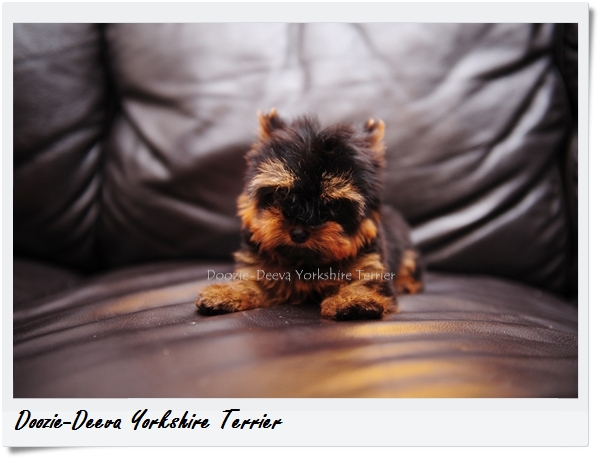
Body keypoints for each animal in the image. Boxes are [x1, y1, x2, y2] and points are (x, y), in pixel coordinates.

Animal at [196, 109, 423, 320]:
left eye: (333, 204)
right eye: (281, 193)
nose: (298, 233)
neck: (305, 262)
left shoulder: (370, 264)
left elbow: (366, 283)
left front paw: (356, 300)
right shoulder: (260, 267)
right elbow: (252, 283)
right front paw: (226, 293)